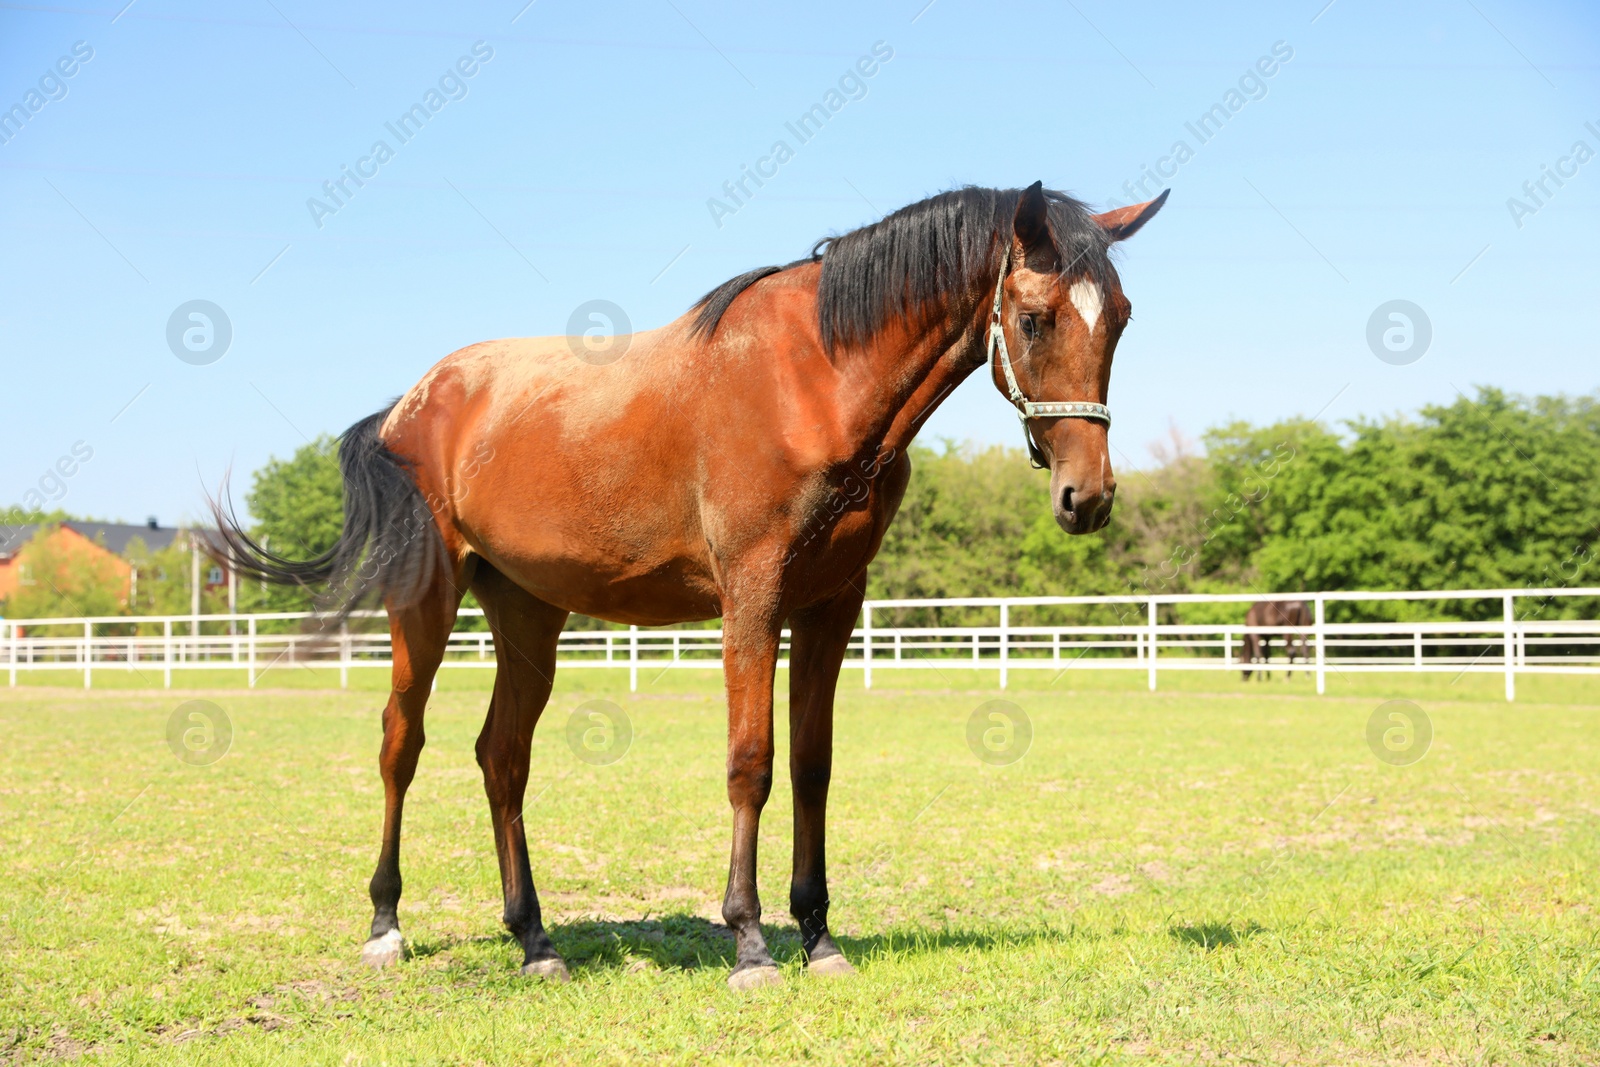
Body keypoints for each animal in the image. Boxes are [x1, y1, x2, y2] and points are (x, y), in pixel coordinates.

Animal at [219, 179, 1171, 991]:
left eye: (1120, 319)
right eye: (1035, 319)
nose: (1087, 497)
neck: (814, 380)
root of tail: (408, 405)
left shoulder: (833, 604)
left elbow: (813, 765)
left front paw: (818, 934)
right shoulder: (752, 595)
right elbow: (751, 763)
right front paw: (749, 941)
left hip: (528, 612)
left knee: (502, 756)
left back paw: (535, 939)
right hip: (424, 601)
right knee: (401, 744)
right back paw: (385, 923)